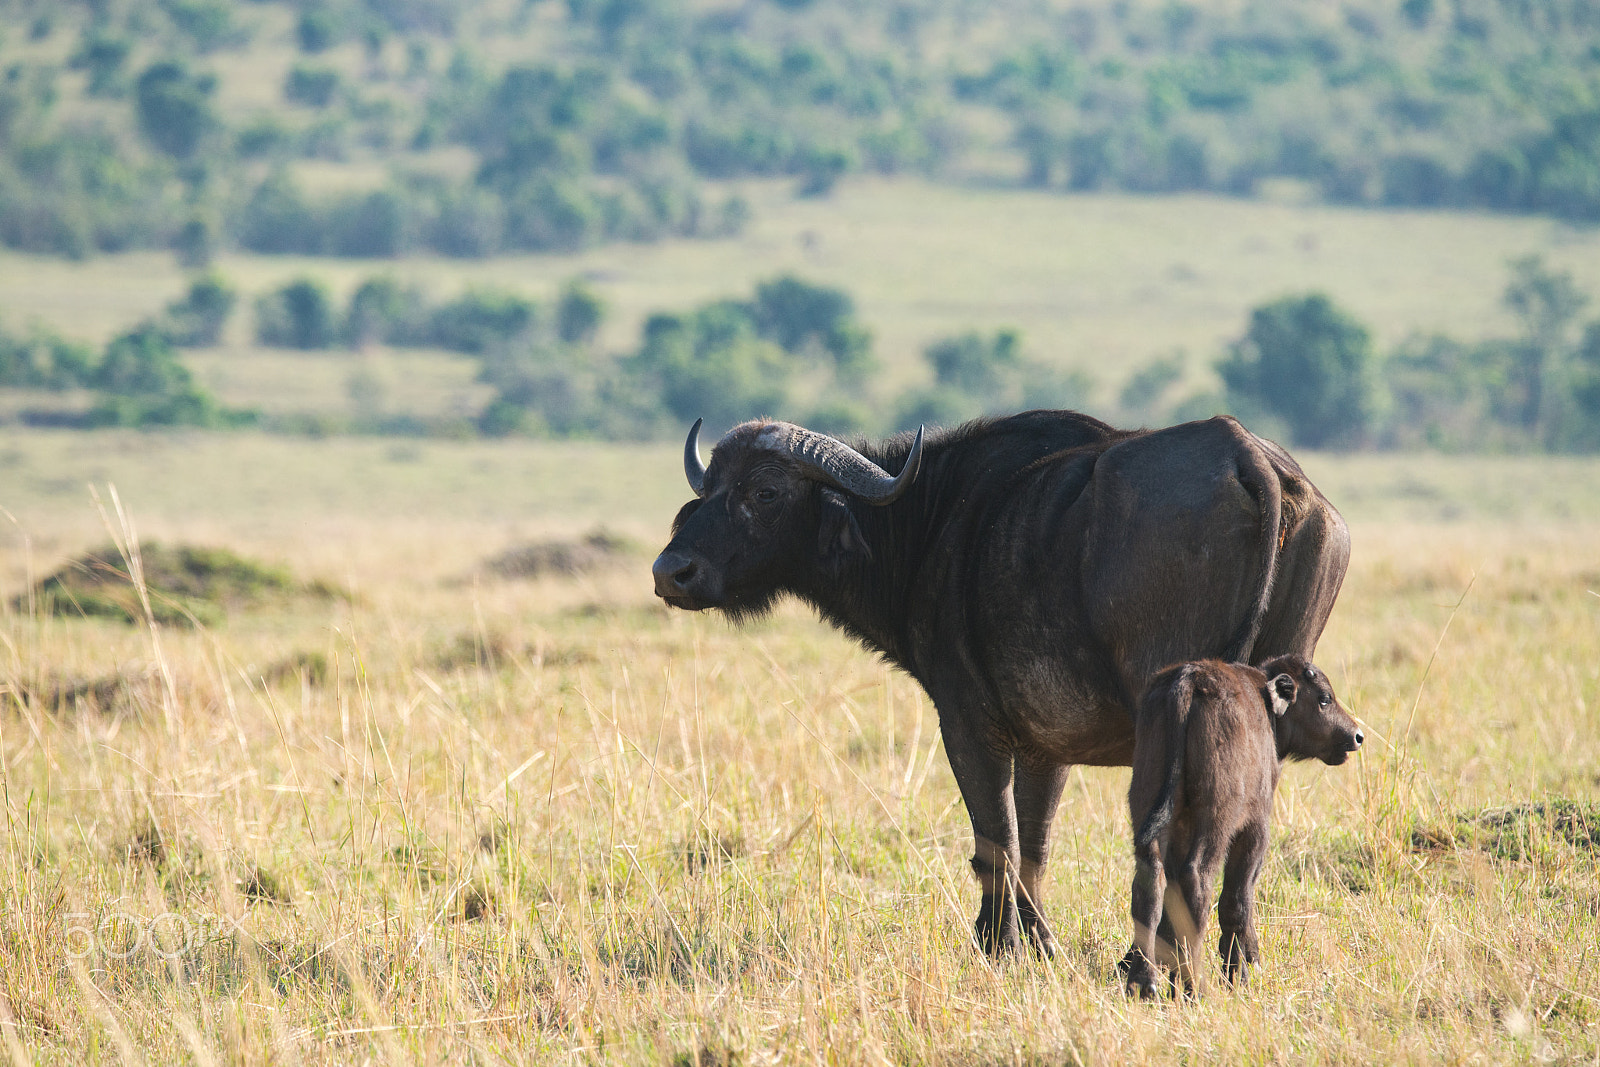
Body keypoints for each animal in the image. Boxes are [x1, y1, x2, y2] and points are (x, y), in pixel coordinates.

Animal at [652, 411, 1348, 957]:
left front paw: (996, 944)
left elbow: (997, 839)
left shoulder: (966, 721)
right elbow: (1036, 841)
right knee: (1249, 841)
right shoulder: (1047, 741)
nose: (671, 571)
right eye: (709, 487)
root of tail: (1245, 455)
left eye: (766, 491)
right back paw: (1237, 957)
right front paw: (1039, 943)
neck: (933, 522)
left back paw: (1149, 962)